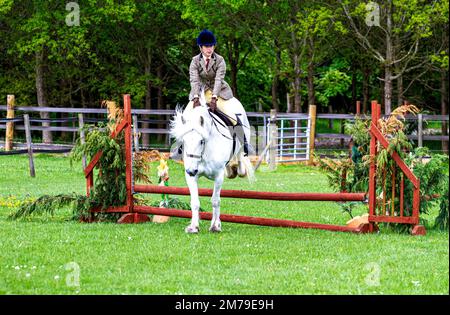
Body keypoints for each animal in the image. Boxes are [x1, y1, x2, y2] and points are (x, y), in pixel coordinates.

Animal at [169, 97, 253, 233]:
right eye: (184, 141)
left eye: (201, 141)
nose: (191, 170)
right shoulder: (191, 176)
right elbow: (195, 202)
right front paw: (193, 227)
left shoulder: (218, 176)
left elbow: (215, 200)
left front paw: (215, 226)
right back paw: (231, 171)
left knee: (240, 155)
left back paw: (237, 169)